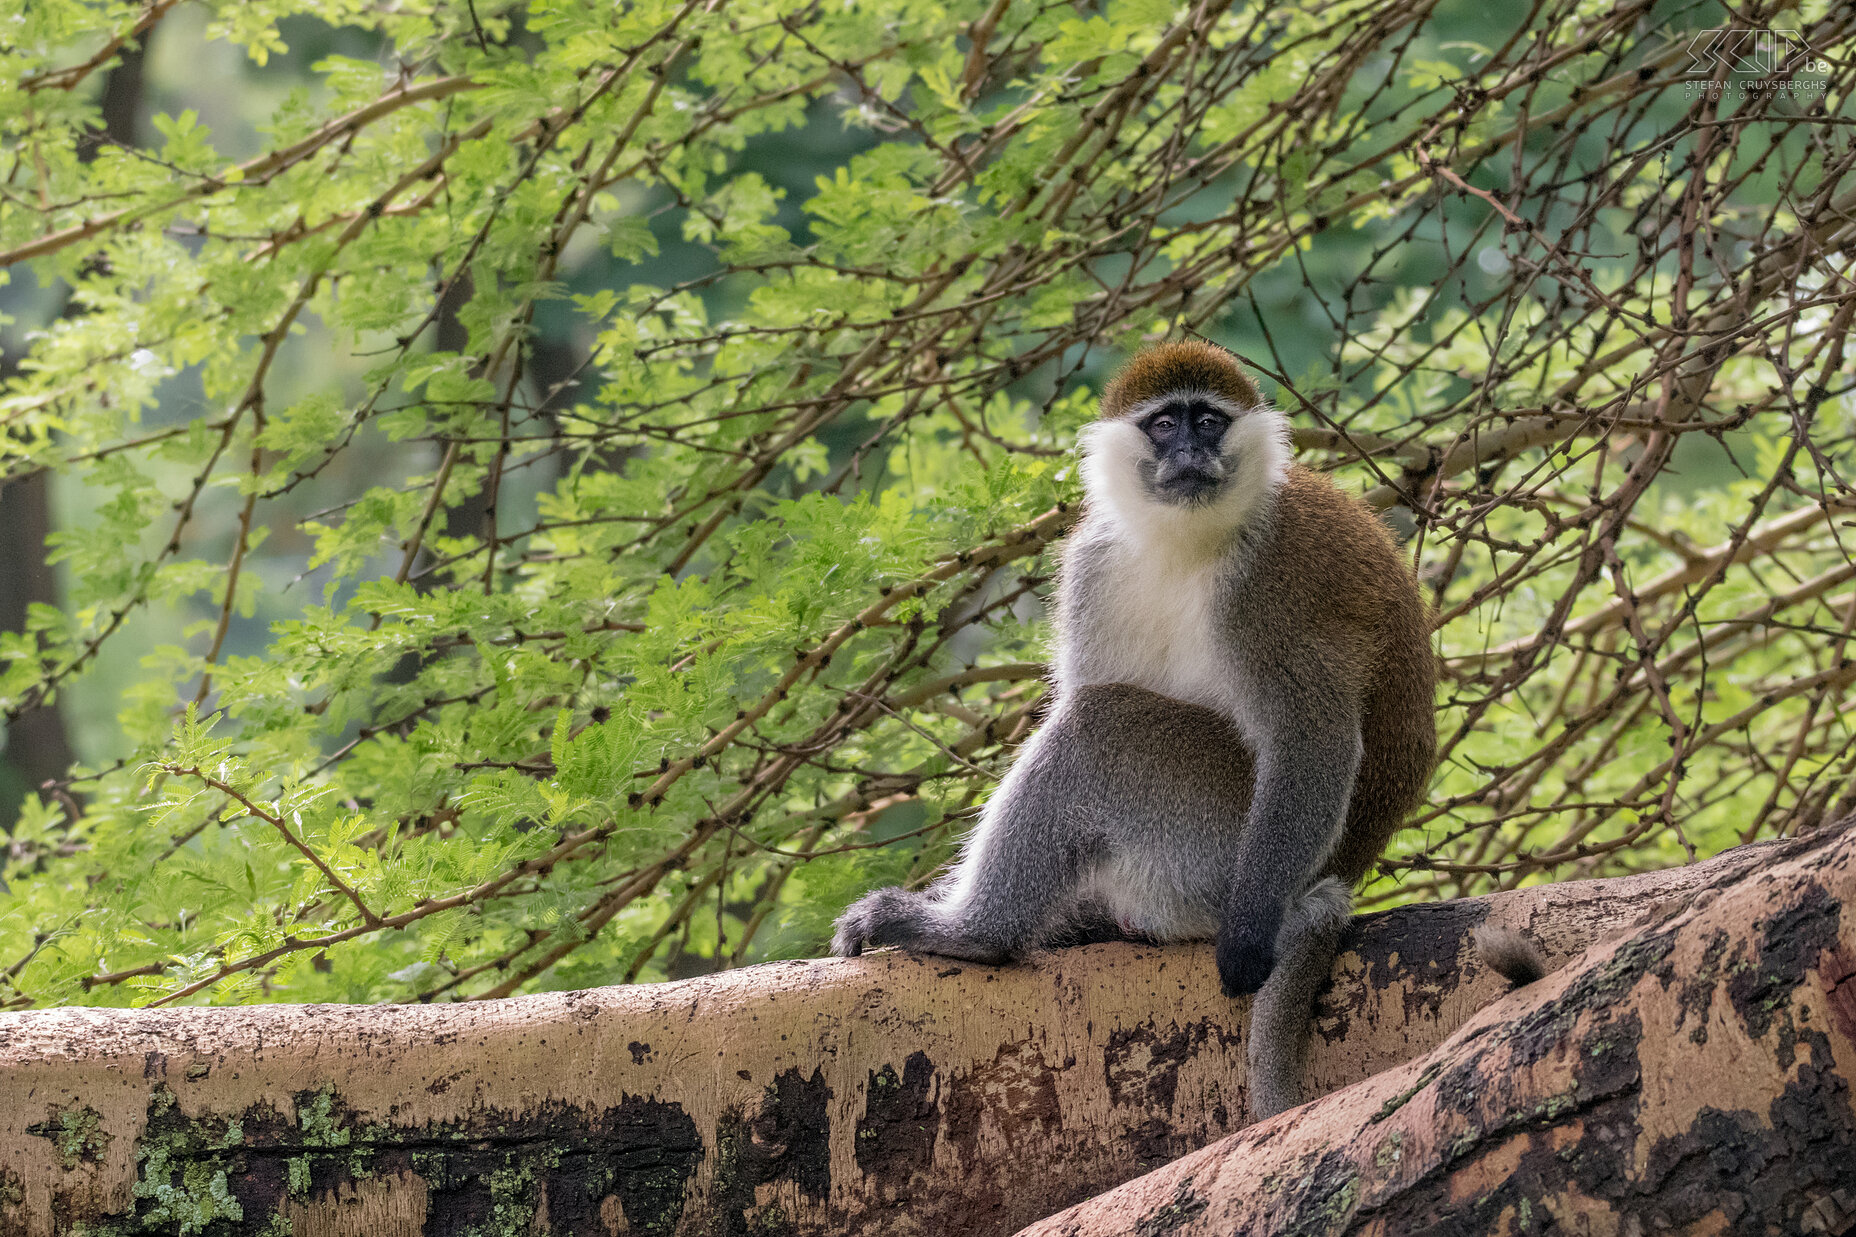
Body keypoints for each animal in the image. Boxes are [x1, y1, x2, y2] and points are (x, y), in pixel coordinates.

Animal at [835, 339, 1440, 1114]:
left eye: (1208, 421)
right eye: (1162, 425)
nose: (1188, 451)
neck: (1188, 541)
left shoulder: (1272, 584)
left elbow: (1313, 742)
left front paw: (1249, 937)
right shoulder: (1092, 562)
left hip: (1207, 849)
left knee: (1100, 727)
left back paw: (977, 935)